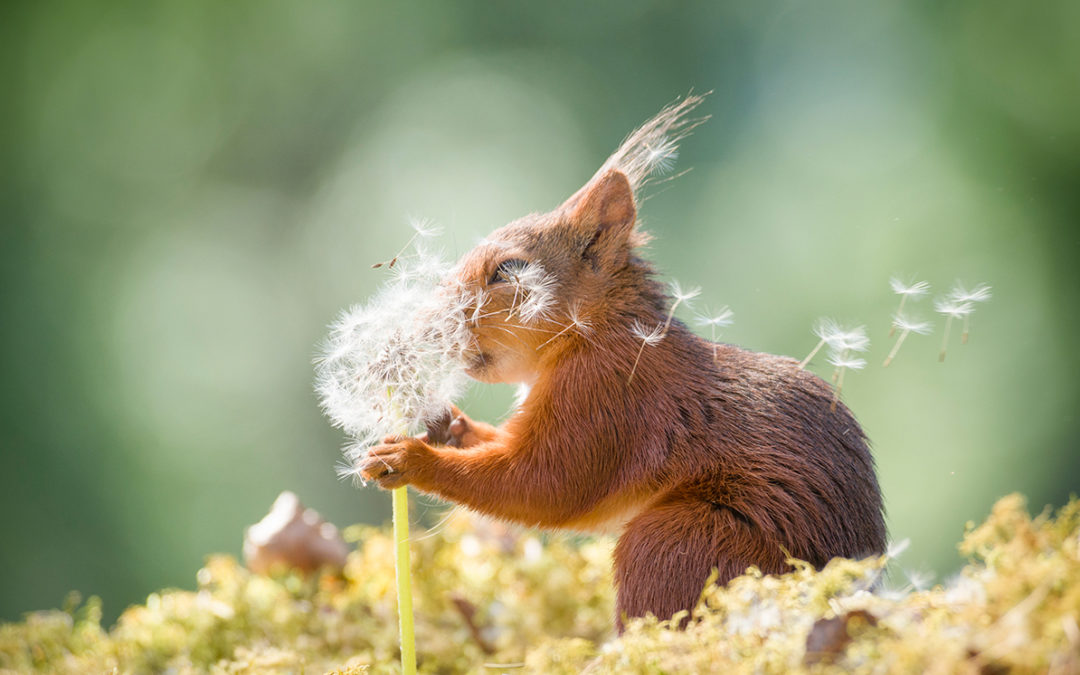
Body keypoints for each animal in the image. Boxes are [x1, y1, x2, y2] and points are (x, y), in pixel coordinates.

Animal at [358, 97, 881, 630]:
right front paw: (449, 425)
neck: (593, 333)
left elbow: (544, 483)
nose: (426, 324)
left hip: (681, 541)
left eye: (508, 270)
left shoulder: (608, 395)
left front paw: (410, 459)